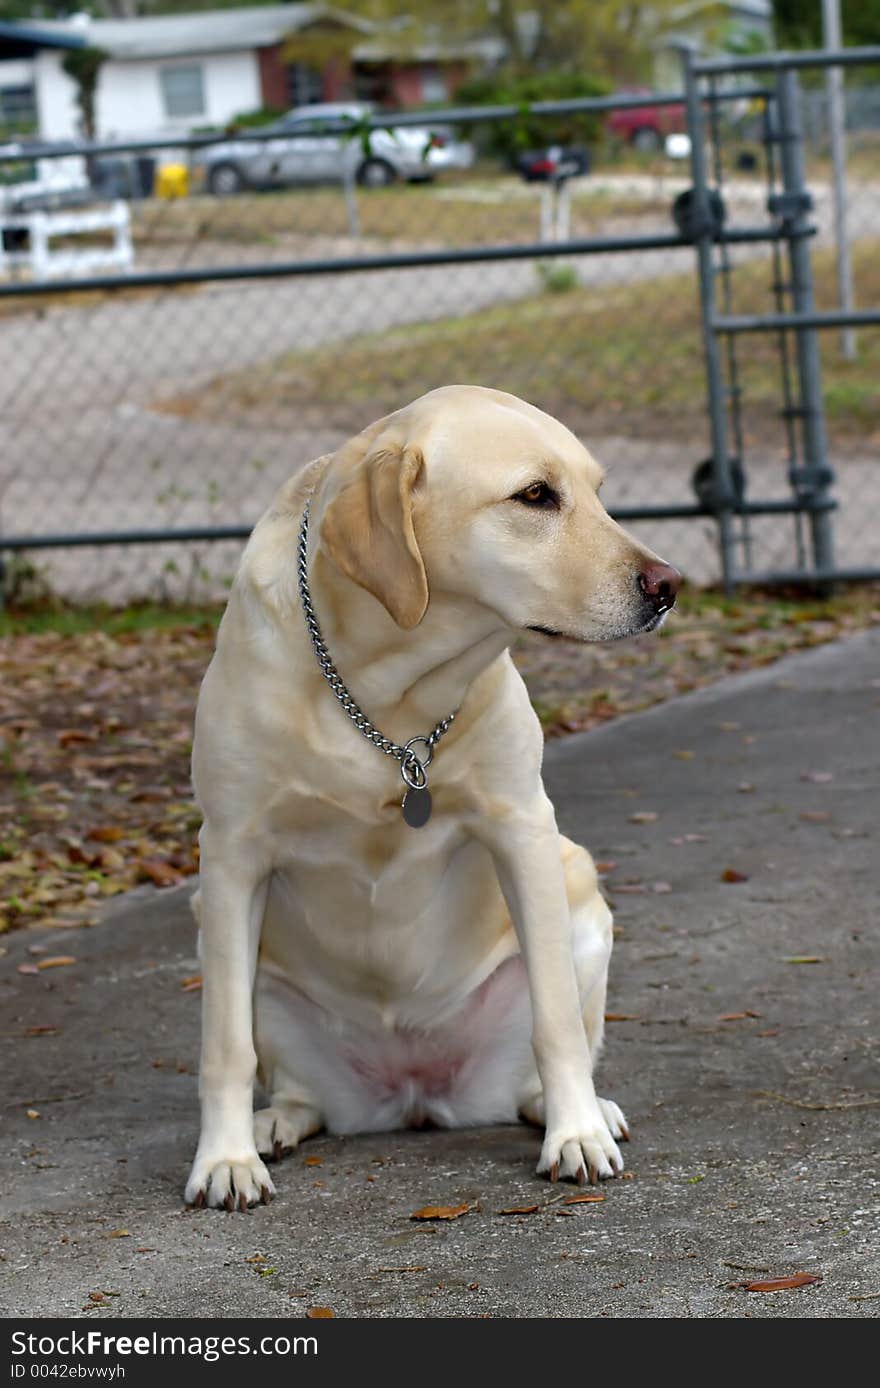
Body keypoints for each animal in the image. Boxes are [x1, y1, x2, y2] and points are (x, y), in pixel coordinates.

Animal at [184, 385, 677, 1210]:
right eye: (535, 496)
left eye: (598, 491)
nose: (669, 586)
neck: (385, 694)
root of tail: (414, 1093)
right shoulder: (229, 858)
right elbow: (223, 1047)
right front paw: (223, 1158)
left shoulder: (523, 829)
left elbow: (556, 1023)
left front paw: (575, 1134)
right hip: (236, 955)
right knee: (291, 1087)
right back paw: (272, 1123)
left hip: (579, 893)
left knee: (550, 1053)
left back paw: (577, 1109)